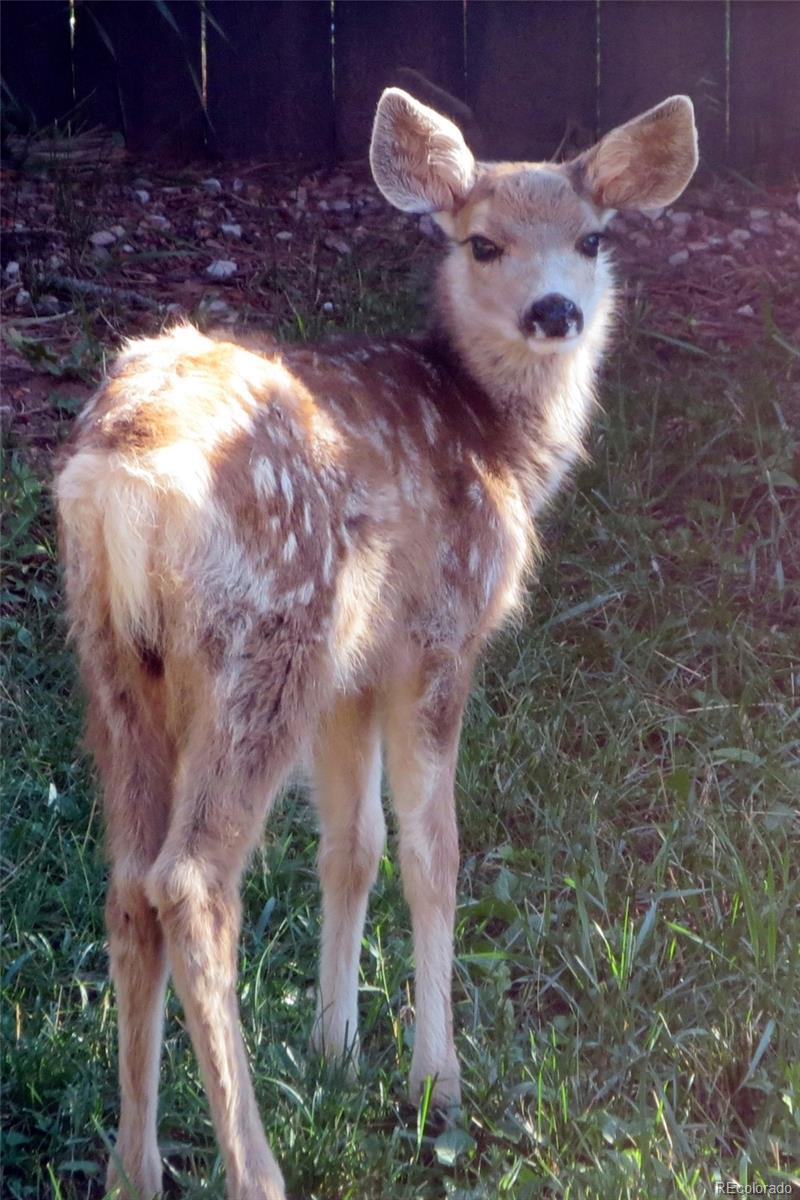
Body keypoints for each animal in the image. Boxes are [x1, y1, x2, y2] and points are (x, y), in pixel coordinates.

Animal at [53, 87, 695, 1200]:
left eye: (592, 237)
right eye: (480, 241)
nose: (555, 312)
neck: (499, 445)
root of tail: (122, 476)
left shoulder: (353, 675)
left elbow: (350, 847)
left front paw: (335, 1052)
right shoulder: (438, 638)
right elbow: (434, 851)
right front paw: (435, 1079)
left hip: (119, 660)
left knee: (130, 880)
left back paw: (136, 1168)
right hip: (267, 638)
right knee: (190, 881)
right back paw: (256, 1169)